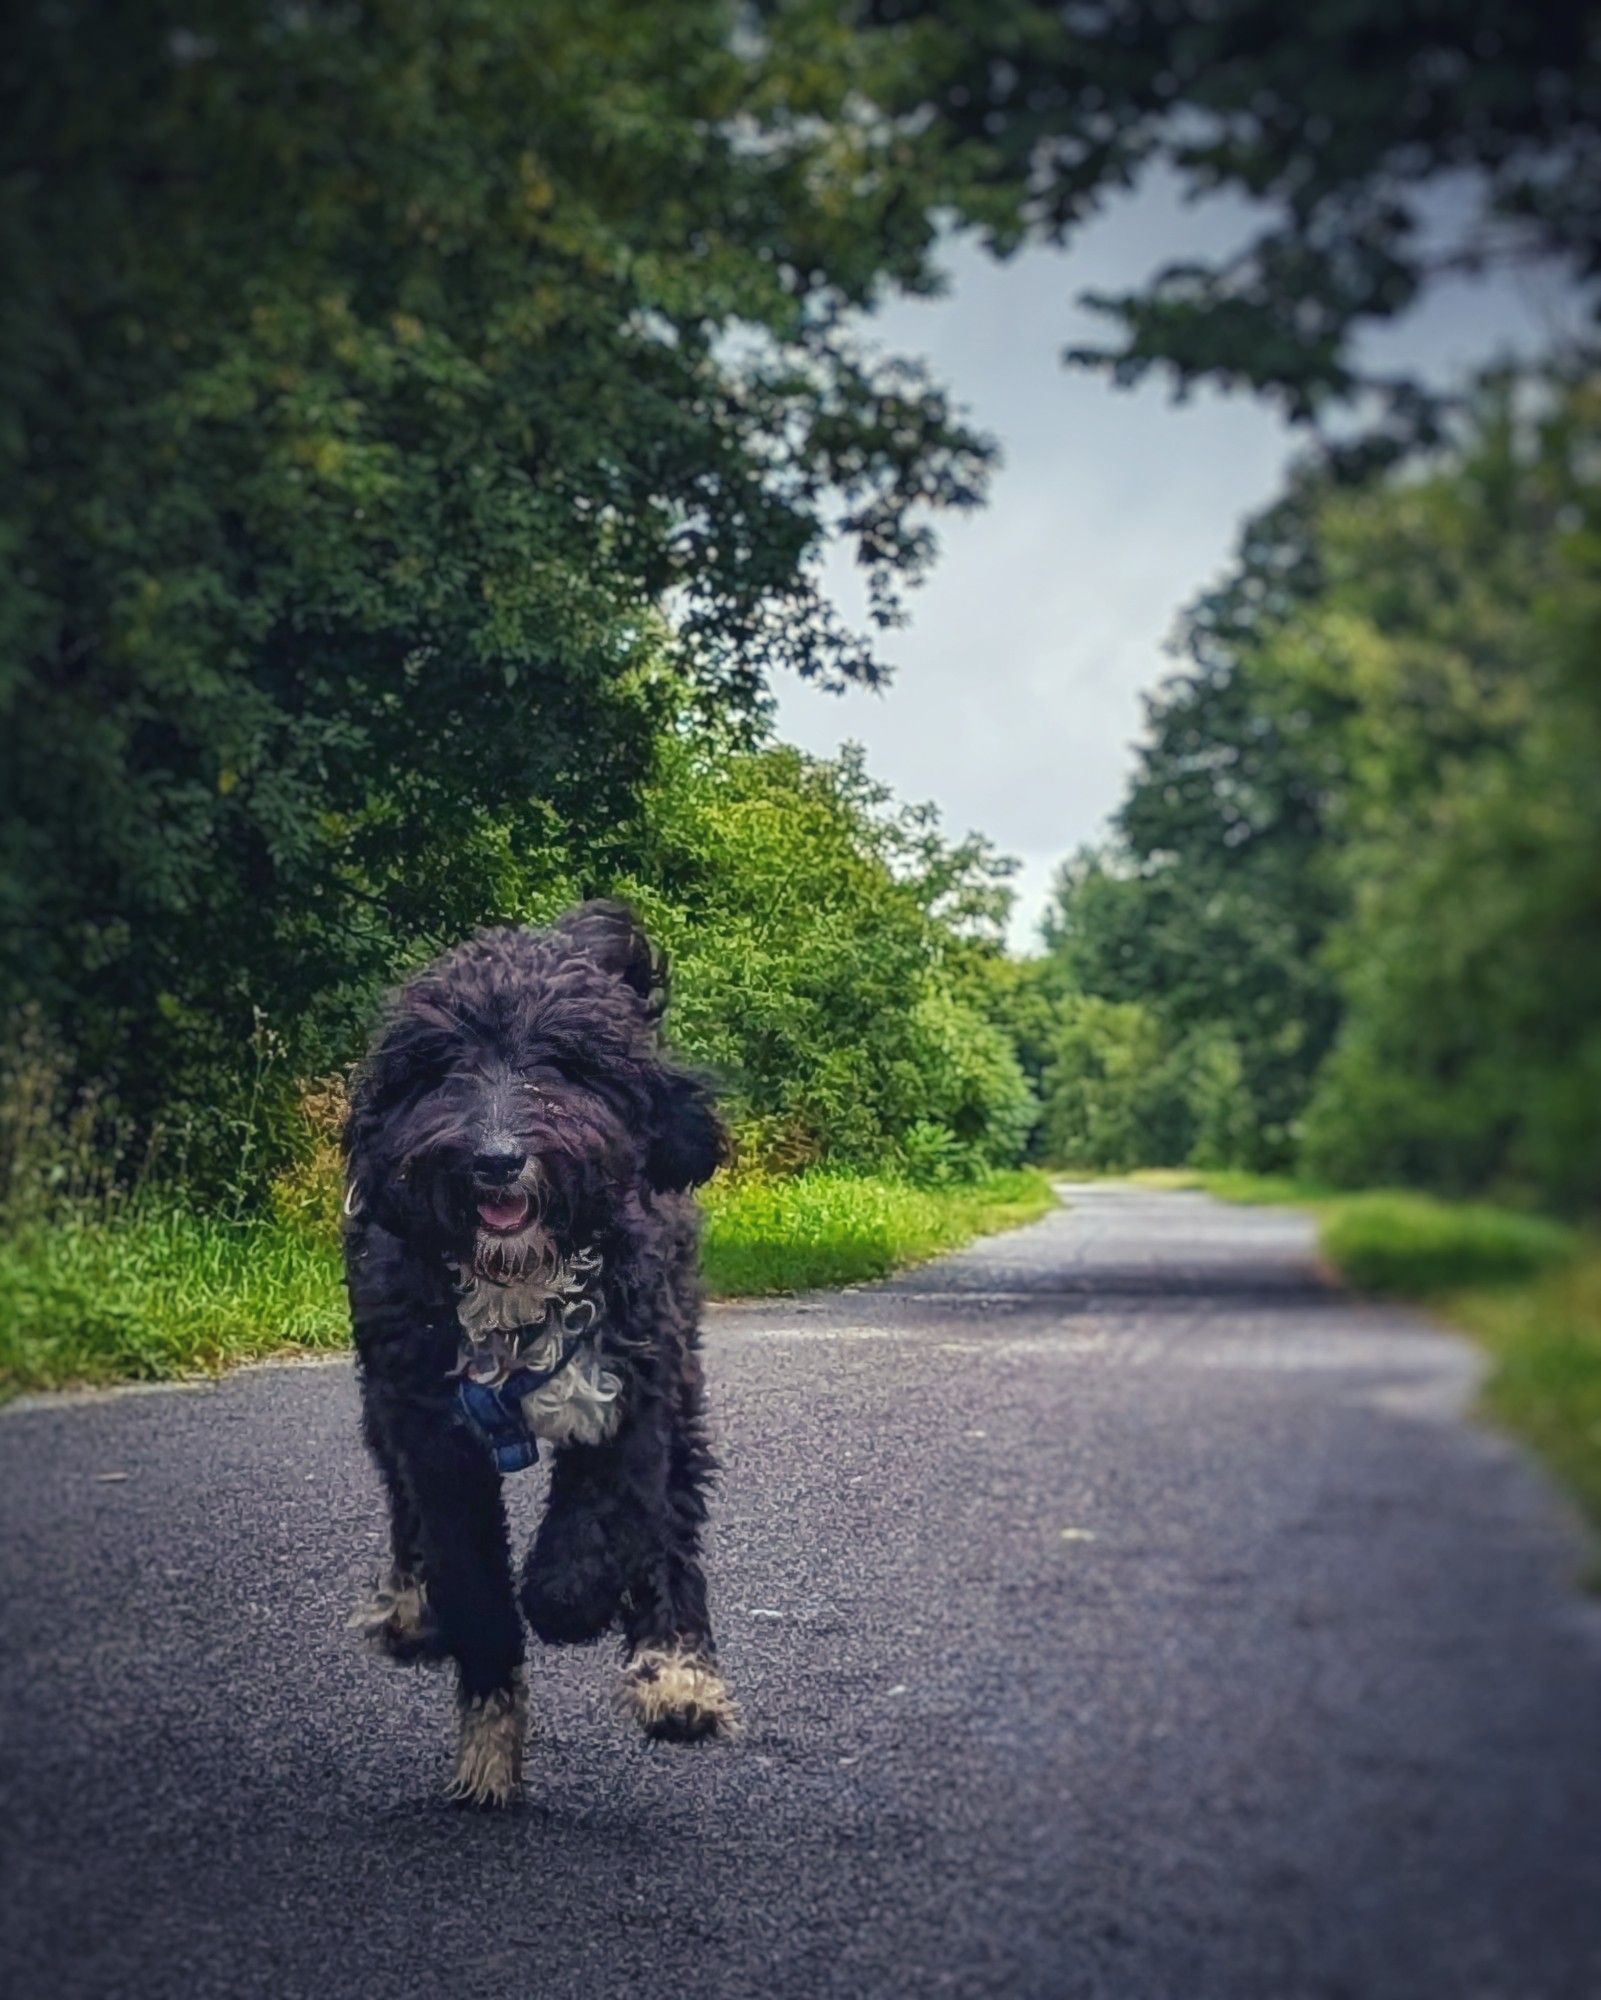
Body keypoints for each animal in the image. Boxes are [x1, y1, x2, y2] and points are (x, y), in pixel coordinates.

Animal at [346, 900, 736, 1808]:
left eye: (563, 1062)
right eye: (443, 1065)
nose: (495, 1159)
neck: (513, 1290)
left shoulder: (632, 1387)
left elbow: (604, 1517)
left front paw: (570, 1598)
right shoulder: (432, 1432)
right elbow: (474, 1588)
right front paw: (488, 1742)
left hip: (680, 1380)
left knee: (673, 1517)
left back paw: (676, 1670)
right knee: (404, 1512)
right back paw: (414, 1610)